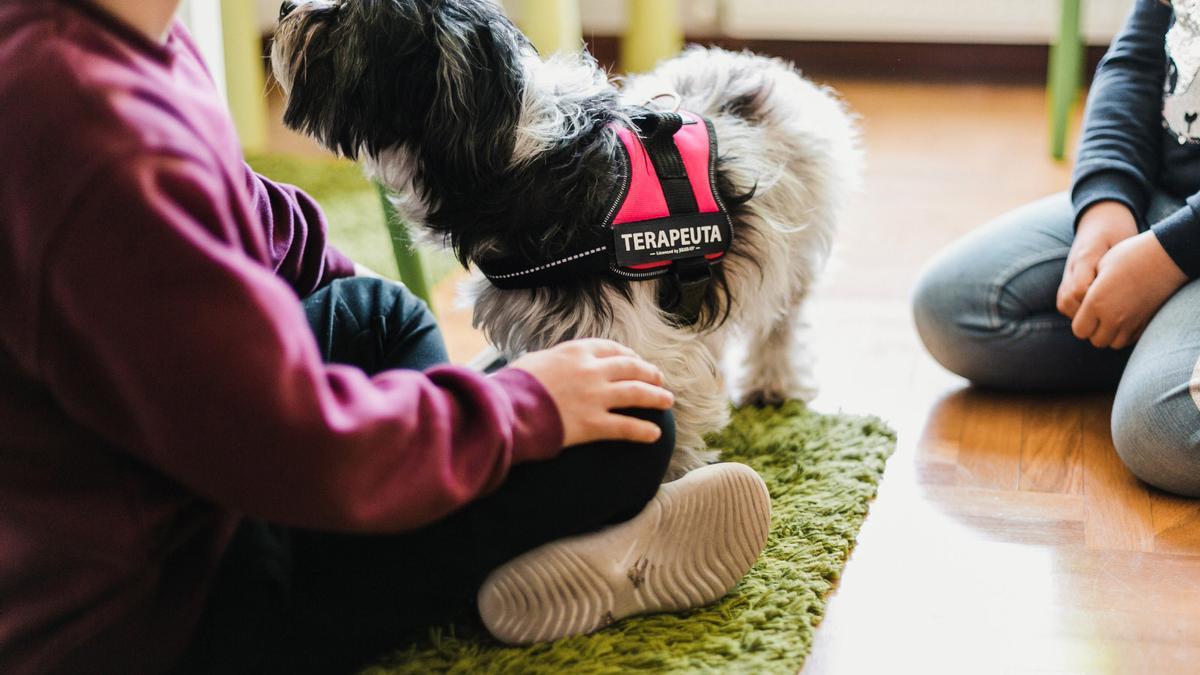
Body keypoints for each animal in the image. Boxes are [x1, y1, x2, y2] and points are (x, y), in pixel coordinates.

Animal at [272, 0, 859, 478]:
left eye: (342, 16)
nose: (283, 7)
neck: (517, 158)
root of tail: (759, 67)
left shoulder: (646, 342)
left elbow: (674, 420)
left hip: (793, 248)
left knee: (782, 321)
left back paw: (773, 382)